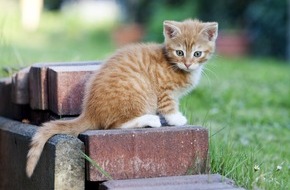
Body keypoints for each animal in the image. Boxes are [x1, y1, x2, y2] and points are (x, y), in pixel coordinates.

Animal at [26, 18, 218, 177]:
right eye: (179, 52)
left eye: (197, 54)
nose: (188, 63)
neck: (173, 64)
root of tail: (90, 111)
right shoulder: (164, 90)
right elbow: (169, 106)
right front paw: (176, 119)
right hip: (139, 86)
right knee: (116, 125)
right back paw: (149, 119)